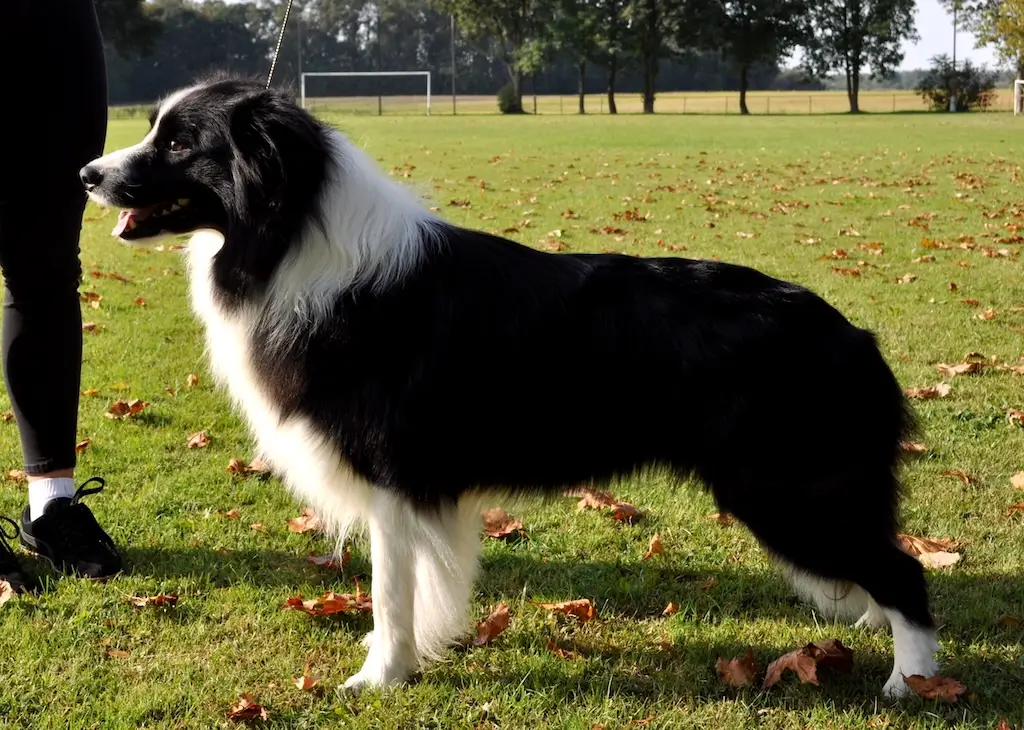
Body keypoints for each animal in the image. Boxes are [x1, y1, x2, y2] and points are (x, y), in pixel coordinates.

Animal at [83, 75, 937, 696]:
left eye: (179, 141)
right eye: (156, 129)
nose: (87, 173)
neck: (288, 236)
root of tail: (852, 335)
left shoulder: (393, 478)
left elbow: (390, 590)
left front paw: (378, 677)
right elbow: (421, 587)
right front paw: (409, 655)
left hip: (782, 489)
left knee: (905, 569)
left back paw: (912, 681)